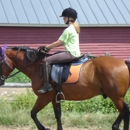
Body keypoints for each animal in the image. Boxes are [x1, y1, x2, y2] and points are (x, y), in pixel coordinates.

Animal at [0, 45, 130, 130]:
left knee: (124, 111)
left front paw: (43, 128)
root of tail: (123, 62)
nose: (1, 81)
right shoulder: (54, 98)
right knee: (125, 109)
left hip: (115, 96)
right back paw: (115, 126)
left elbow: (33, 113)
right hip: (117, 96)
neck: (37, 67)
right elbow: (57, 115)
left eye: (0, 62)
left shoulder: (44, 97)